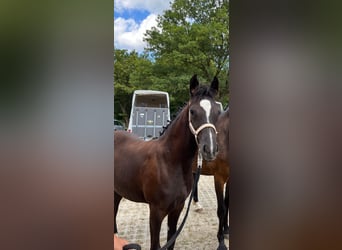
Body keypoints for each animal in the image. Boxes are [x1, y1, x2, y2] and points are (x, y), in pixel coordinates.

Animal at [114, 74, 222, 250]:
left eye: (218, 112)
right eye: (192, 111)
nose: (210, 149)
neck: (169, 162)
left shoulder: (177, 209)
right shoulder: (156, 212)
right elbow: (155, 244)